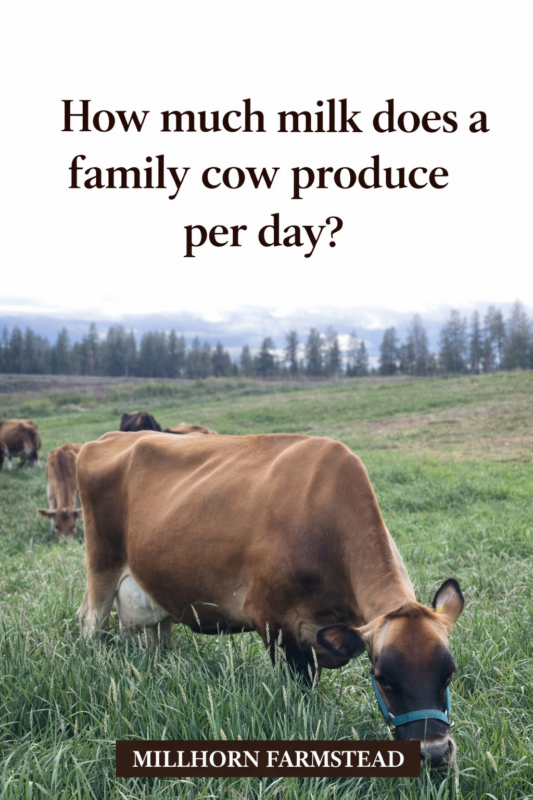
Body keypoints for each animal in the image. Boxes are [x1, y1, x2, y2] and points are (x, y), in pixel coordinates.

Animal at [77, 431, 464, 767]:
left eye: (449, 674)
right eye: (383, 677)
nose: (434, 753)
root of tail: (108, 437)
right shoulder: (274, 622)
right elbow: (302, 694)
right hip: (101, 568)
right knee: (91, 626)